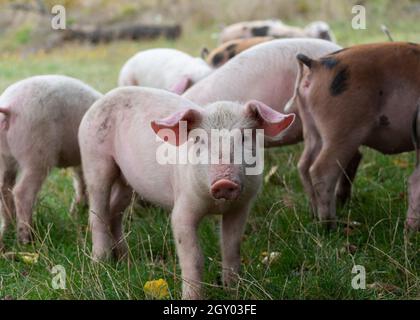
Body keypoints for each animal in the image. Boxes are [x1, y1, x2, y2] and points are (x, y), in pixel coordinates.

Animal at [0, 75, 102, 248]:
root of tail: (9, 106)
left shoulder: (81, 162)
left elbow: (81, 182)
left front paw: (75, 214)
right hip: (37, 153)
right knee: (21, 192)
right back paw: (26, 240)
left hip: (4, 158)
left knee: (4, 188)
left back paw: (8, 230)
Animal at [79, 86, 296, 298]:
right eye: (200, 140)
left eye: (244, 137)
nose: (223, 182)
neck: (216, 205)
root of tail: (99, 101)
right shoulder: (183, 207)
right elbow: (193, 256)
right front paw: (191, 298)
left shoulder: (240, 207)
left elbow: (231, 247)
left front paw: (232, 289)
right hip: (94, 160)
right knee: (97, 211)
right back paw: (101, 262)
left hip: (126, 181)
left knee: (114, 211)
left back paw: (125, 259)